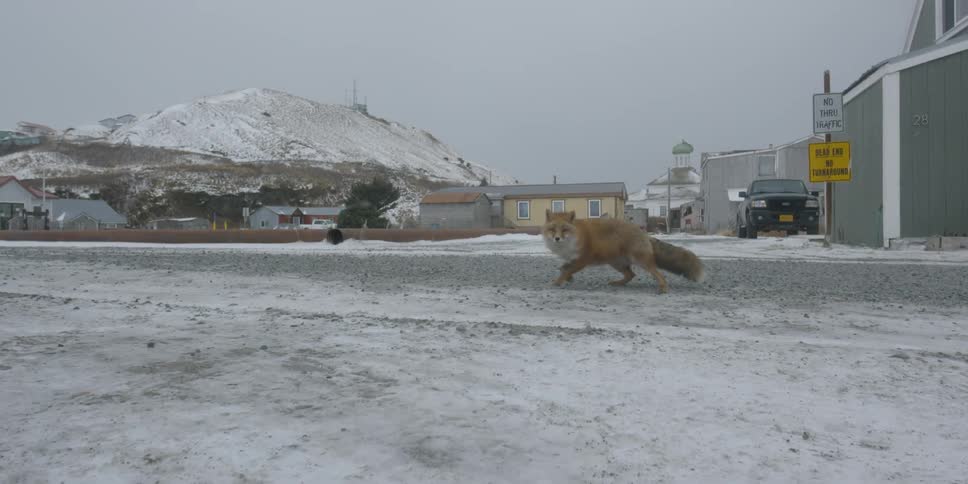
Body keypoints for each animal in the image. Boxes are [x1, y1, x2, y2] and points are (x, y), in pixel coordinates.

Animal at [542, 210, 704, 294]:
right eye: (552, 229)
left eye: (564, 229)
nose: (557, 238)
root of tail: (643, 232)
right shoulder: (572, 259)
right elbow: (564, 268)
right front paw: (568, 278)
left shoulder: (583, 259)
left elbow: (567, 271)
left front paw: (558, 282)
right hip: (616, 264)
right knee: (631, 275)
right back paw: (618, 283)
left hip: (641, 262)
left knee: (658, 274)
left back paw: (663, 288)